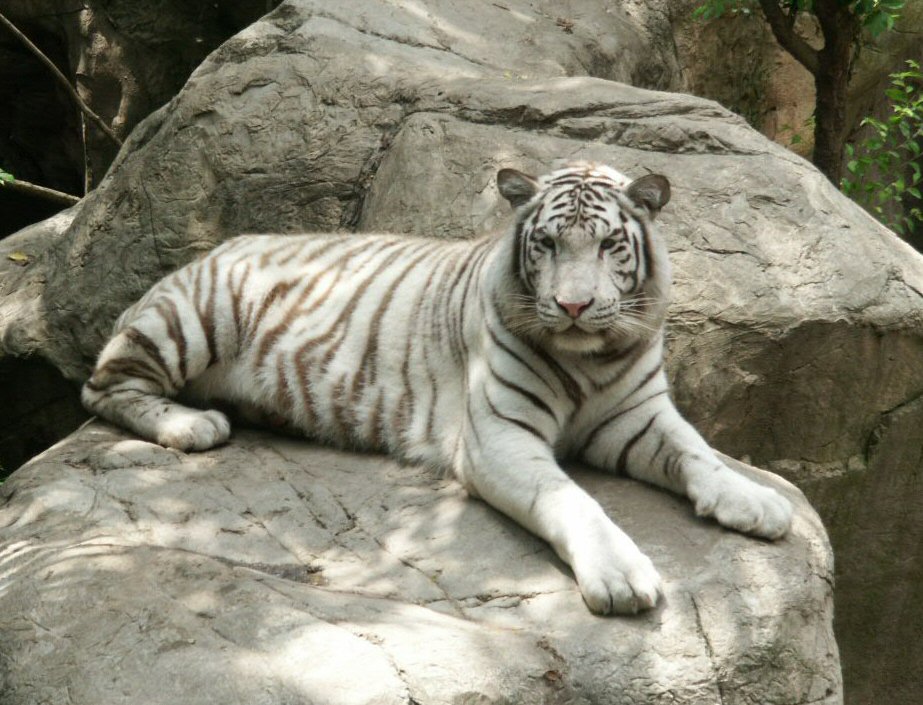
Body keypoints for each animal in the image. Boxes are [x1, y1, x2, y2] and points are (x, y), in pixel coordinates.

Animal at [82, 162, 793, 615]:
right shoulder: (499, 436)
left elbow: (699, 453)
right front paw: (620, 576)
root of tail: (212, 248)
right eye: (547, 244)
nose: (572, 306)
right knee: (102, 387)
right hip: (190, 319)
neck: (590, 356)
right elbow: (573, 499)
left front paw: (758, 502)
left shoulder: (638, 415)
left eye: (609, 245)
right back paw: (192, 423)